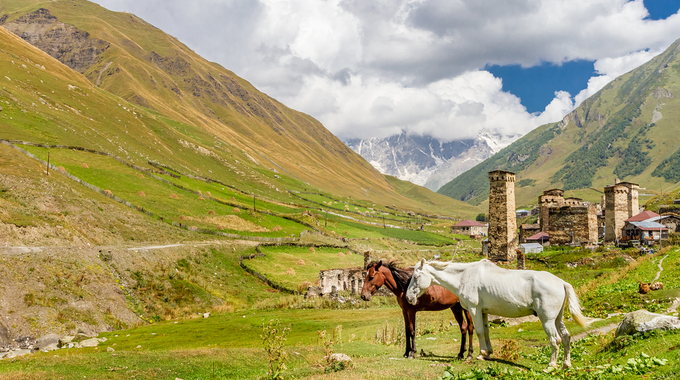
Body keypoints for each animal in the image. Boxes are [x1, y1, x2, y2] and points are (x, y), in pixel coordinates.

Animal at [406, 260, 596, 370]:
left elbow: (479, 332)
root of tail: (561, 282)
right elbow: (486, 332)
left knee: (555, 340)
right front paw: (488, 353)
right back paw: (566, 365)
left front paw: (481, 354)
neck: (465, 277)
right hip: (558, 319)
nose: (408, 297)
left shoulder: (474, 310)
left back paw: (550, 366)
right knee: (566, 337)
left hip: (547, 320)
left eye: (415, 276)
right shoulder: (483, 312)